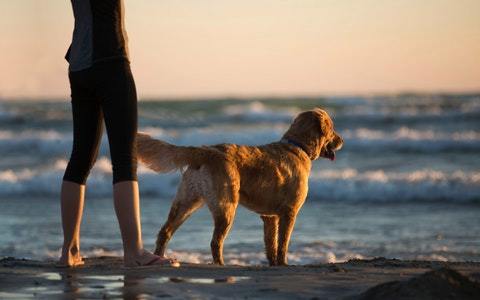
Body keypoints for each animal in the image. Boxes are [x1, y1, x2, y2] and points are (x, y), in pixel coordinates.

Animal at [137, 107, 344, 264]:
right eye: (333, 128)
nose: (342, 140)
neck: (298, 146)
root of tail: (205, 151)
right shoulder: (289, 212)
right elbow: (283, 244)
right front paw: (284, 263)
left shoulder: (269, 217)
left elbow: (271, 244)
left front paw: (274, 264)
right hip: (226, 206)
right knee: (215, 242)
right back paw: (220, 265)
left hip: (186, 202)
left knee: (165, 231)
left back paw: (160, 258)